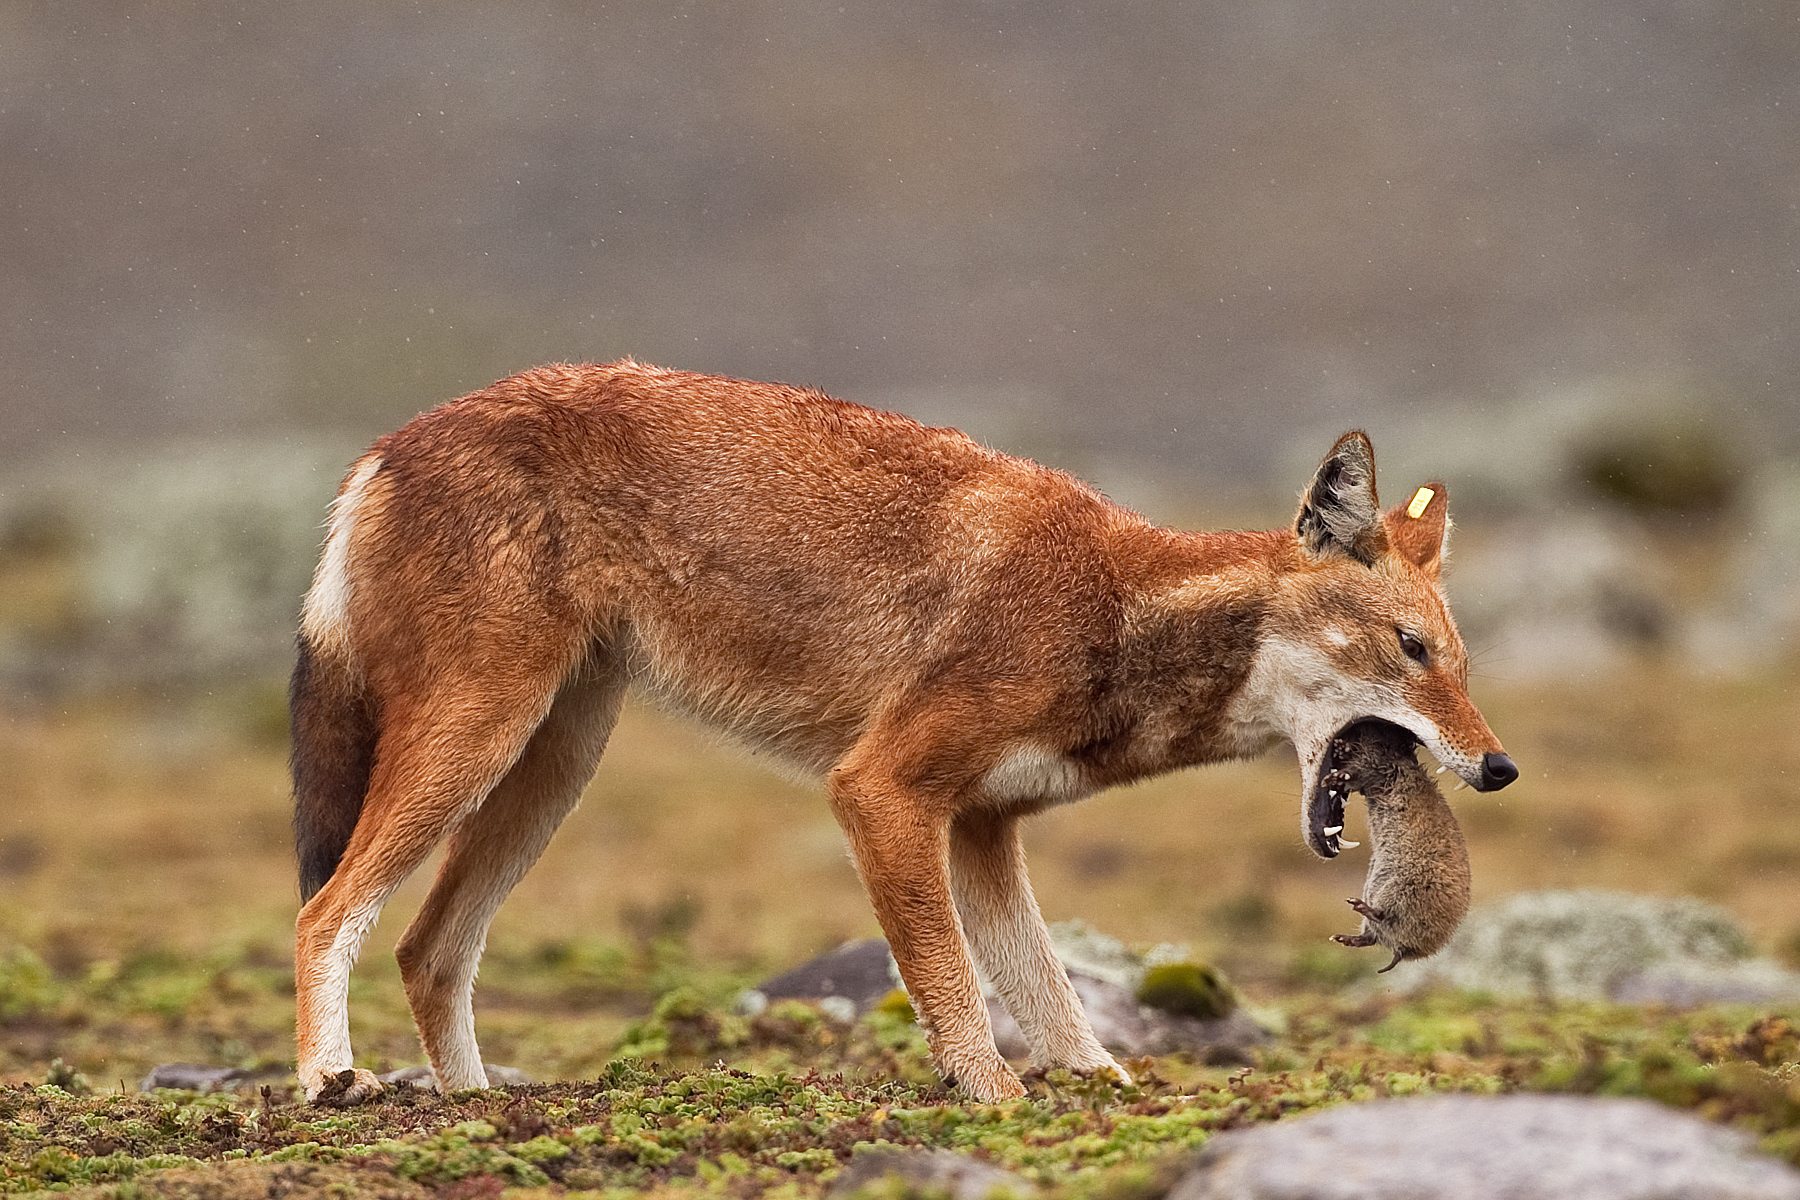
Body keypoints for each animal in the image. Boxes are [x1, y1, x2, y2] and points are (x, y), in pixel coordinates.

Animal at [290, 360, 1515, 1103]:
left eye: (1459, 663)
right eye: (1410, 650)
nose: (1498, 767)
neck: (1113, 608)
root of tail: (384, 445)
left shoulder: (981, 830)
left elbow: (1052, 1001)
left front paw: (1094, 1095)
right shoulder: (880, 791)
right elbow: (957, 990)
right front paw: (996, 1105)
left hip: (550, 770)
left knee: (426, 948)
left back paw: (474, 1105)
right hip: (479, 746)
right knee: (324, 914)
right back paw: (329, 1082)